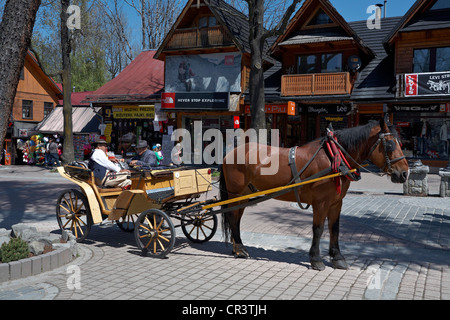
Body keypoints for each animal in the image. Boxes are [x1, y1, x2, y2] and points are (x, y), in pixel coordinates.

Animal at [220, 115, 410, 270]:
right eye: (390, 144)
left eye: (401, 143)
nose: (404, 173)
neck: (334, 157)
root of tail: (230, 153)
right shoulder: (321, 203)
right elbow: (318, 229)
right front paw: (316, 259)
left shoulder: (336, 202)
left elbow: (335, 228)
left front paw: (337, 257)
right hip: (235, 193)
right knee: (233, 217)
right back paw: (239, 249)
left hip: (245, 194)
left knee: (236, 217)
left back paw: (238, 247)